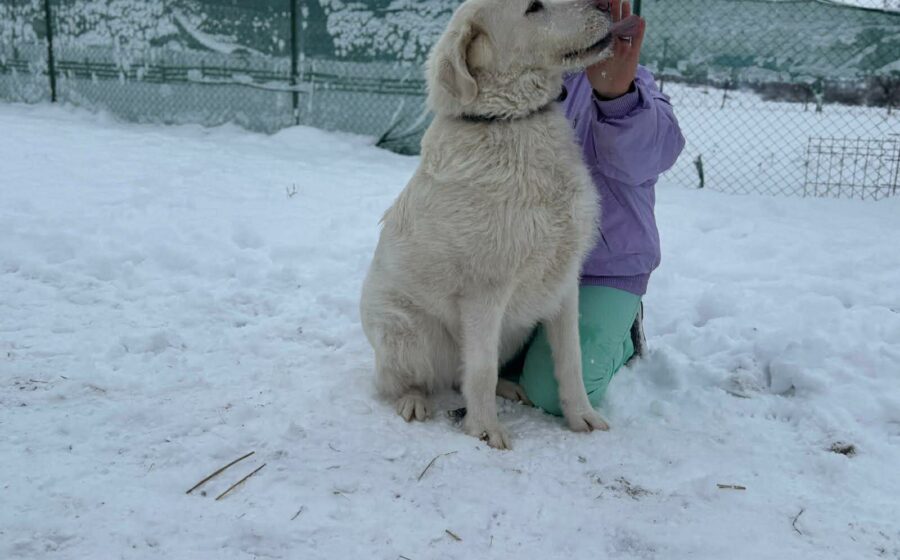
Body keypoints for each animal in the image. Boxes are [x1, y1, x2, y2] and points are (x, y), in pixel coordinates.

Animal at [360, 0, 630, 449]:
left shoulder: (564, 284)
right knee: (400, 381)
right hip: (408, 332)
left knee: (459, 377)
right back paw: (413, 400)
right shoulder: (484, 292)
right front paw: (485, 430)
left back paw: (509, 387)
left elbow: (571, 361)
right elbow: (481, 370)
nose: (606, 5)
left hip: (514, 329)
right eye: (533, 7)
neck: (511, 120)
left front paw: (582, 417)